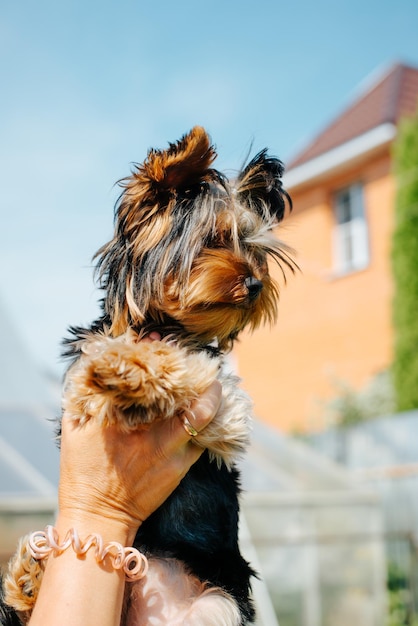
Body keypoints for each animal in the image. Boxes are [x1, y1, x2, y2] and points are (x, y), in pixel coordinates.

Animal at [1, 127, 292, 624]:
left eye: (255, 252)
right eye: (215, 239)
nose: (256, 284)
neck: (162, 323)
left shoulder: (225, 404)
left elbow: (184, 363)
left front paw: (128, 367)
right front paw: (119, 366)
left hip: (218, 603)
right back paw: (29, 579)